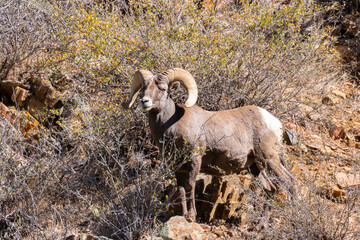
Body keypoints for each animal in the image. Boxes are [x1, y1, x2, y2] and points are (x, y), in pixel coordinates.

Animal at [122, 68, 294, 220]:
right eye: (143, 88)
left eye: (162, 89)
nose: (144, 101)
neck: (172, 125)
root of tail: (275, 122)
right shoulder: (178, 167)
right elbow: (181, 188)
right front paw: (184, 215)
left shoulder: (194, 160)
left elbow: (190, 186)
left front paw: (191, 216)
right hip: (256, 167)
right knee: (270, 190)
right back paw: (260, 224)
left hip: (268, 158)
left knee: (288, 182)